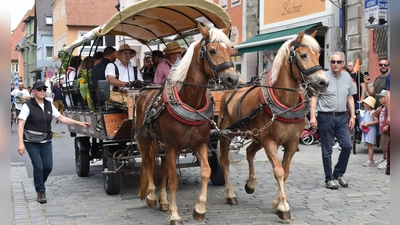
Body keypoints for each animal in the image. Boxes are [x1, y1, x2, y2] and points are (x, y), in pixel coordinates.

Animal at [136, 23, 239, 225]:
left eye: (230, 50)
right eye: (212, 51)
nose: (233, 79)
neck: (190, 103)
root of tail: (145, 91)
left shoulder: (200, 144)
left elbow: (205, 171)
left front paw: (199, 209)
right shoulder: (172, 145)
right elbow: (173, 181)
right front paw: (175, 215)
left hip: (162, 144)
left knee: (164, 167)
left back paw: (163, 201)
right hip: (145, 138)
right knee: (147, 163)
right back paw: (151, 197)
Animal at [219, 31, 328, 220]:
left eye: (318, 54)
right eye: (303, 55)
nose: (323, 82)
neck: (285, 102)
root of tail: (229, 90)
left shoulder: (291, 143)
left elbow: (286, 171)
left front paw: (277, 201)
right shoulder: (271, 142)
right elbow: (278, 171)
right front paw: (283, 206)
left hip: (257, 136)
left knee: (249, 152)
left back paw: (251, 183)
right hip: (227, 135)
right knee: (224, 162)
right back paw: (230, 194)